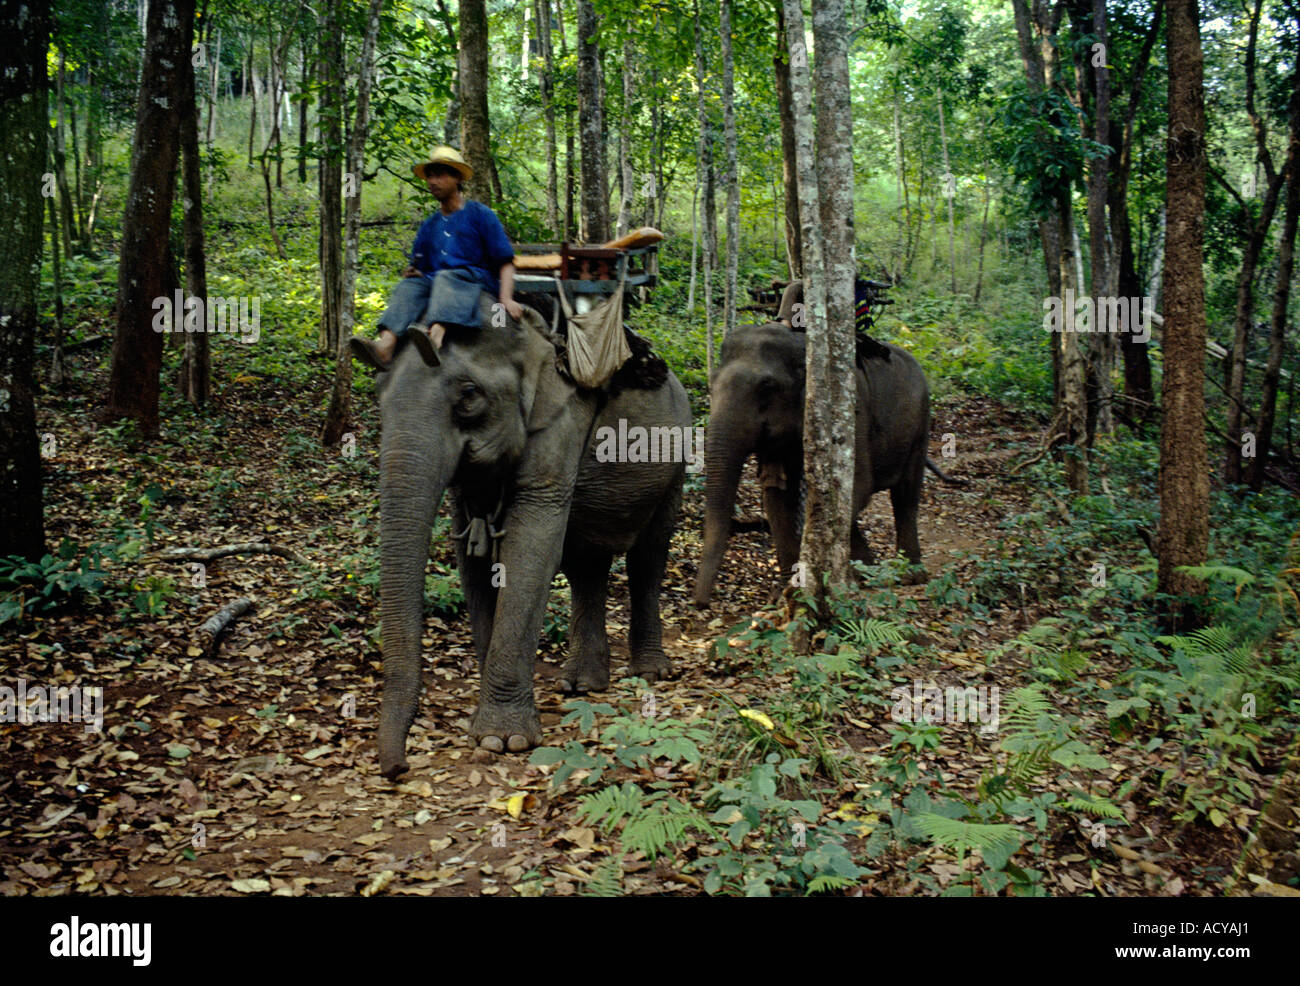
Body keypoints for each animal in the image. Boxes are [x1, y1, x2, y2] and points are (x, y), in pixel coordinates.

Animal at [355, 297, 691, 778]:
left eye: (469, 395)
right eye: (379, 396)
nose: (396, 768)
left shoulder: (560, 423)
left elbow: (531, 544)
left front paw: (502, 740)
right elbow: (473, 560)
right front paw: (487, 725)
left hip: (676, 459)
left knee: (648, 556)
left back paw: (650, 674)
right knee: (586, 564)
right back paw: (582, 684)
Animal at [692, 282, 938, 606]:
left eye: (767, 387)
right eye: (711, 384)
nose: (700, 603)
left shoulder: (850, 410)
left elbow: (853, 489)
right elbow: (776, 496)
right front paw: (784, 594)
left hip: (921, 420)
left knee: (906, 495)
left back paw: (909, 575)